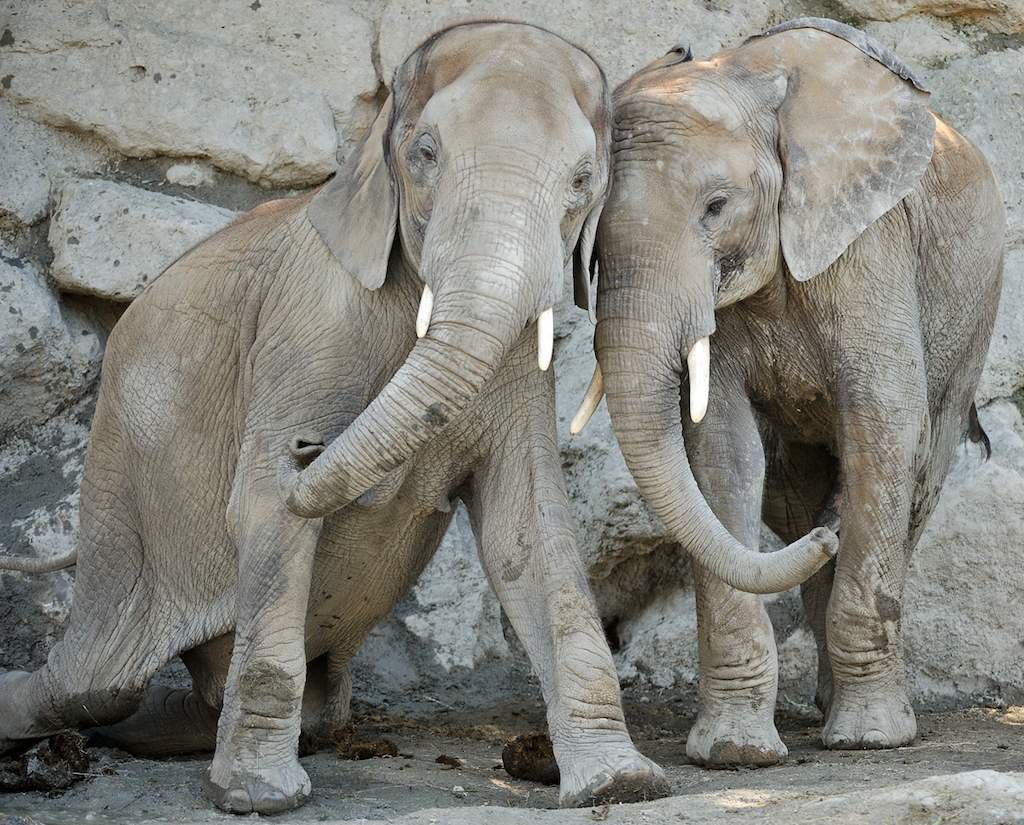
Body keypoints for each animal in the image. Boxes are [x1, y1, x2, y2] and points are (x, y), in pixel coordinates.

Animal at [0, 22, 680, 814]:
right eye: (424, 153)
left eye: (582, 182)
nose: (306, 445)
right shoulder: (308, 325)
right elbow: (265, 504)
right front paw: (258, 797)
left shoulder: (517, 365)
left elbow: (527, 526)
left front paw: (624, 783)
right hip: (120, 485)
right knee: (96, 677)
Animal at [571, 18, 1004, 766]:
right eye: (593, 241)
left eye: (717, 208)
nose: (827, 541)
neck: (742, 76)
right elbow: (721, 448)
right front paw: (734, 754)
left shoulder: (870, 246)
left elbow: (884, 424)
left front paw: (871, 739)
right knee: (795, 491)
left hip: (972, 317)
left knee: (917, 473)